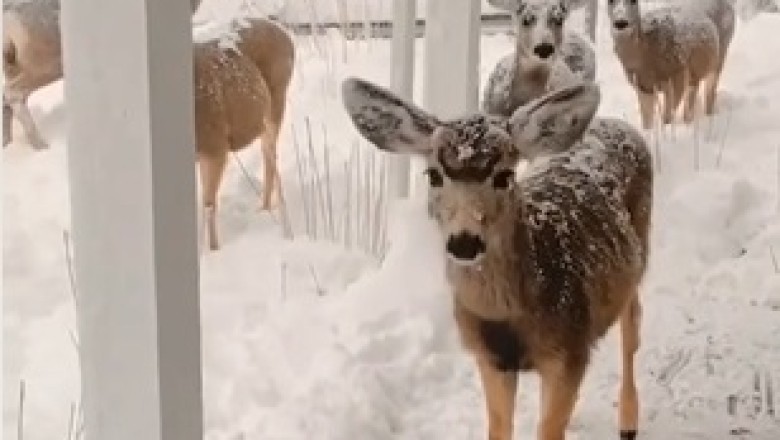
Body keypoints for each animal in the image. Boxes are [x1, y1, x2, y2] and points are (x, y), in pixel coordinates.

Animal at [2, 4, 295, 251]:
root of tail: (285, 34)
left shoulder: (216, 146)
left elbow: (208, 204)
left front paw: (210, 253)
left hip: (277, 101)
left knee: (270, 155)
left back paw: (268, 212)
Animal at [342, 77, 653, 440]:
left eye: (504, 176)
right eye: (433, 175)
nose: (464, 242)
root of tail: (615, 123)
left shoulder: (569, 351)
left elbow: (548, 430)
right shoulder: (490, 357)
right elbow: (500, 427)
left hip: (640, 254)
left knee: (631, 328)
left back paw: (628, 423)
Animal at [607, 0, 735, 130]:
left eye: (634, 1)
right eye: (610, 1)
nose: (621, 23)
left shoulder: (676, 77)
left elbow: (667, 118)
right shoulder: (642, 85)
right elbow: (647, 121)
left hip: (720, 54)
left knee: (710, 91)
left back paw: (708, 117)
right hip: (694, 71)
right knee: (693, 91)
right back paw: (689, 121)